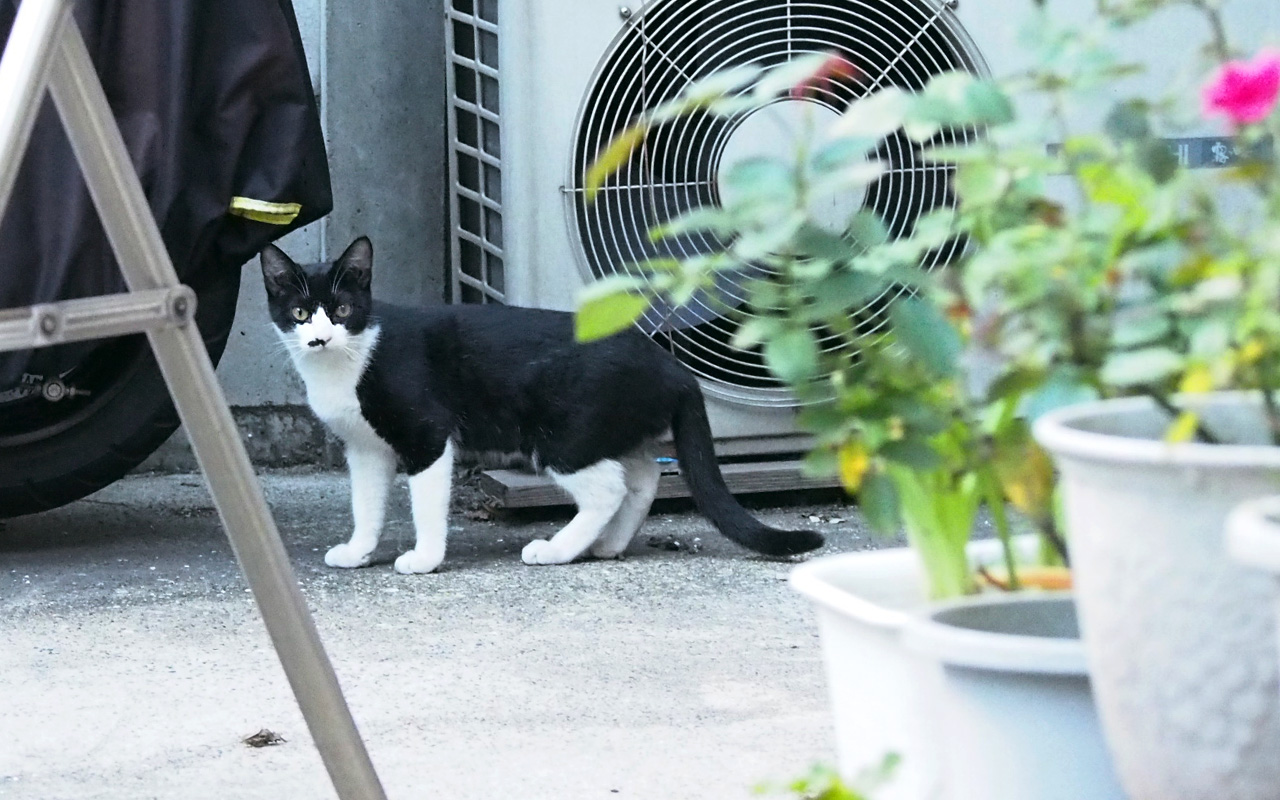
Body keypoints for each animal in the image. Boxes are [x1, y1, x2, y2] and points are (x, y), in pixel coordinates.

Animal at [262, 234, 819, 570]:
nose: (318, 338)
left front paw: (425, 558)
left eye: (341, 309)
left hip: (562, 434)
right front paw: (358, 551)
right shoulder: (365, 448)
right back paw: (607, 544)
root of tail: (672, 366)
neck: (348, 361)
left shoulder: (426, 434)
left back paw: (558, 549)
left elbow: (426, 502)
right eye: (299, 312)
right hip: (608, 425)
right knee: (642, 475)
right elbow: (366, 502)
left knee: (608, 487)